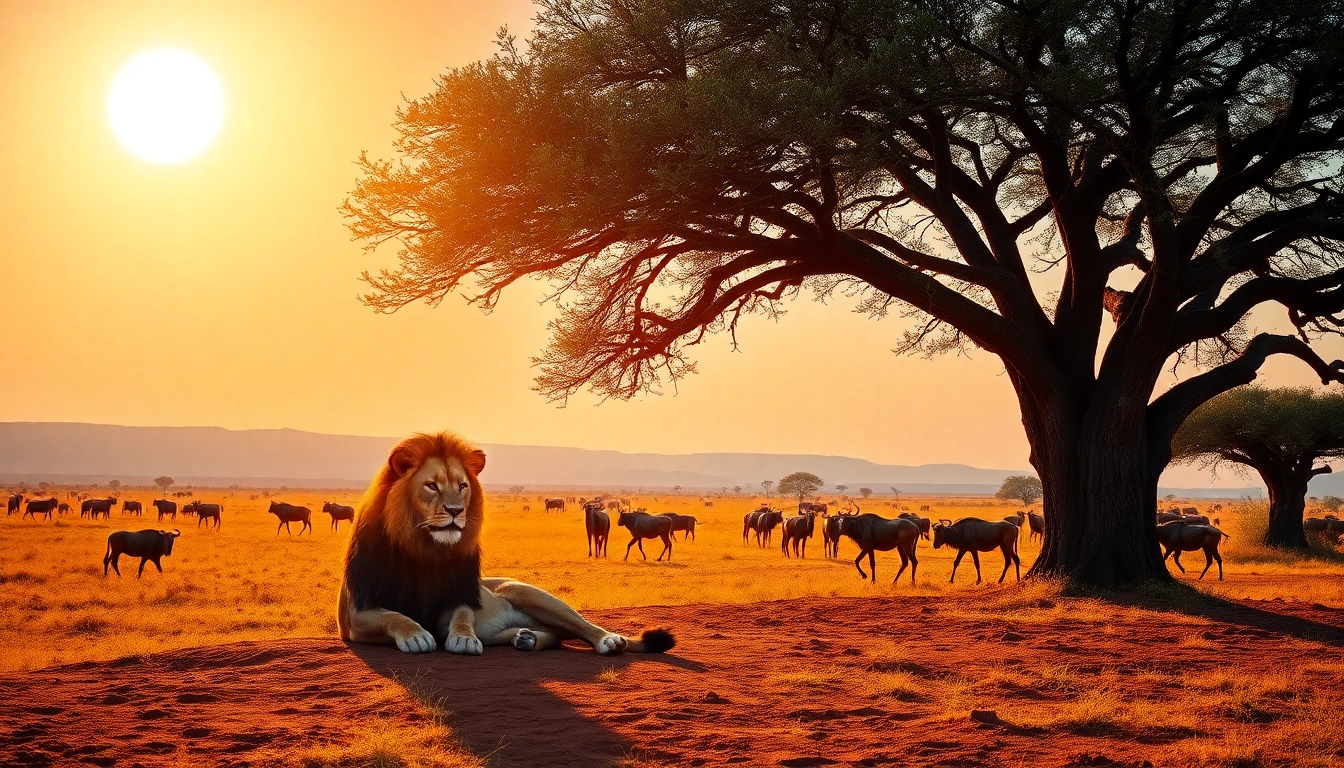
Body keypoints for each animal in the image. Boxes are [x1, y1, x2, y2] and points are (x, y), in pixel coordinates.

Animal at [337, 431, 675, 656]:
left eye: (462, 486)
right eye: (431, 485)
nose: (456, 511)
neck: (423, 549)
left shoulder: (459, 598)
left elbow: (462, 616)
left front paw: (463, 638)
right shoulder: (355, 615)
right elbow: (392, 615)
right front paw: (416, 635)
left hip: (524, 592)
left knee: (583, 627)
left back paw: (609, 641)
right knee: (555, 636)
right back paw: (526, 638)